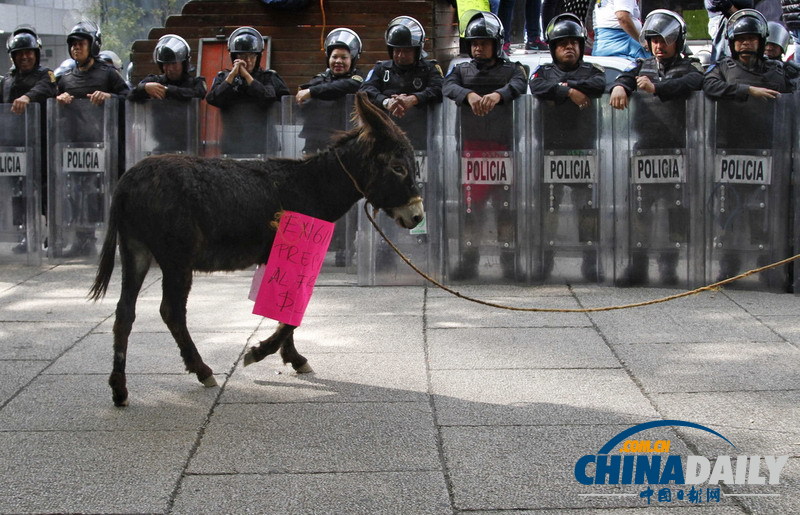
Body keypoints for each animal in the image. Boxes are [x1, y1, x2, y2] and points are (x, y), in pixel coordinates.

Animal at [89, 92, 424, 406]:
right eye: (397, 167)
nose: (418, 216)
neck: (312, 186)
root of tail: (127, 180)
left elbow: (285, 310)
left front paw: (293, 358)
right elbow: (292, 314)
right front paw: (260, 352)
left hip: (135, 252)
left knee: (124, 312)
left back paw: (120, 389)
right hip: (176, 257)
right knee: (171, 312)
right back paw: (202, 371)